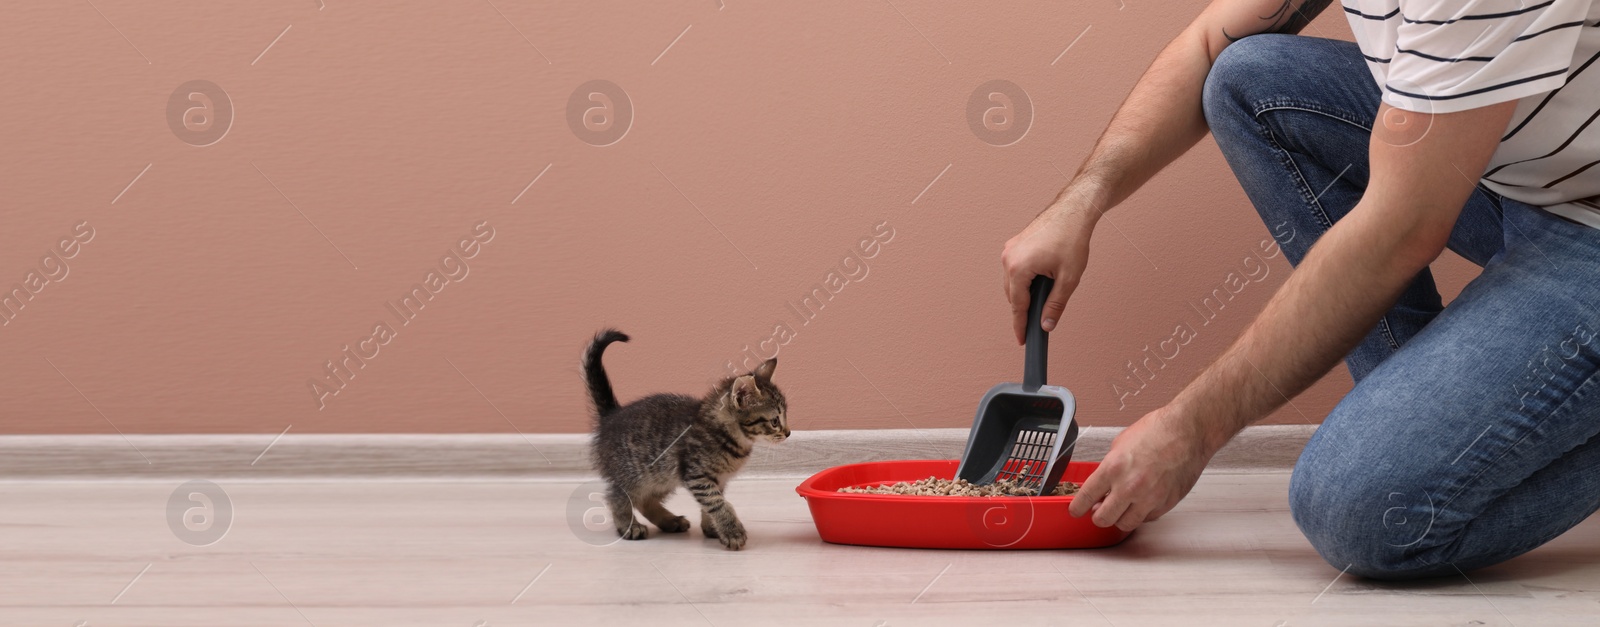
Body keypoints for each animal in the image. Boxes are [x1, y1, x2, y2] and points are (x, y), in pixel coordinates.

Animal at [585, 327, 790, 550]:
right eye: (775, 421)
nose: (788, 432)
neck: (731, 438)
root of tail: (611, 415)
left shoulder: (717, 479)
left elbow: (713, 503)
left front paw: (712, 528)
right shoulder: (697, 475)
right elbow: (717, 503)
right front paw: (732, 531)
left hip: (661, 477)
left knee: (644, 500)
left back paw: (670, 521)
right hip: (635, 473)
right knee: (617, 496)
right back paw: (629, 526)